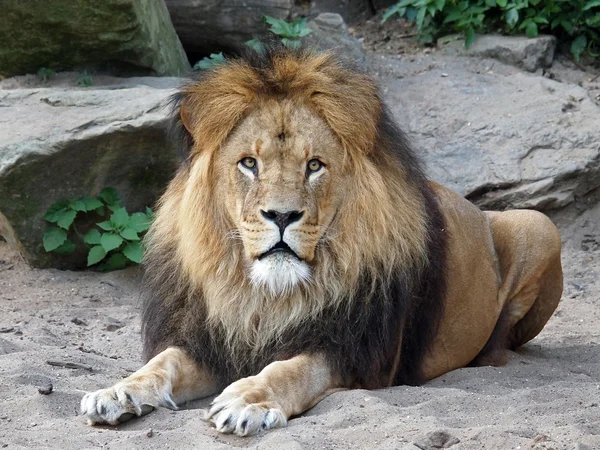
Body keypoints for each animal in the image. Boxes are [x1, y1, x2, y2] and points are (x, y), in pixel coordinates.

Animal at [79, 46, 564, 436]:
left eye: (314, 165)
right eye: (249, 163)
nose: (281, 215)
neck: (266, 296)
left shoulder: (352, 352)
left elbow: (289, 370)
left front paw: (247, 401)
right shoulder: (213, 341)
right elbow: (163, 362)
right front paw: (118, 391)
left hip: (539, 224)